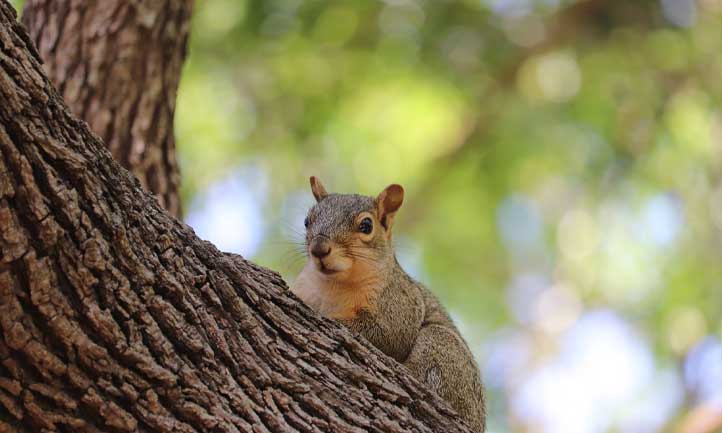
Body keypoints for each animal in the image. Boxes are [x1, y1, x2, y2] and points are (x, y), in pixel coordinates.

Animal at [292, 176, 484, 432]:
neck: (332, 285)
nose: (319, 248)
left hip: (442, 346)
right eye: (307, 221)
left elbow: (388, 334)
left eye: (366, 226)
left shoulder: (398, 303)